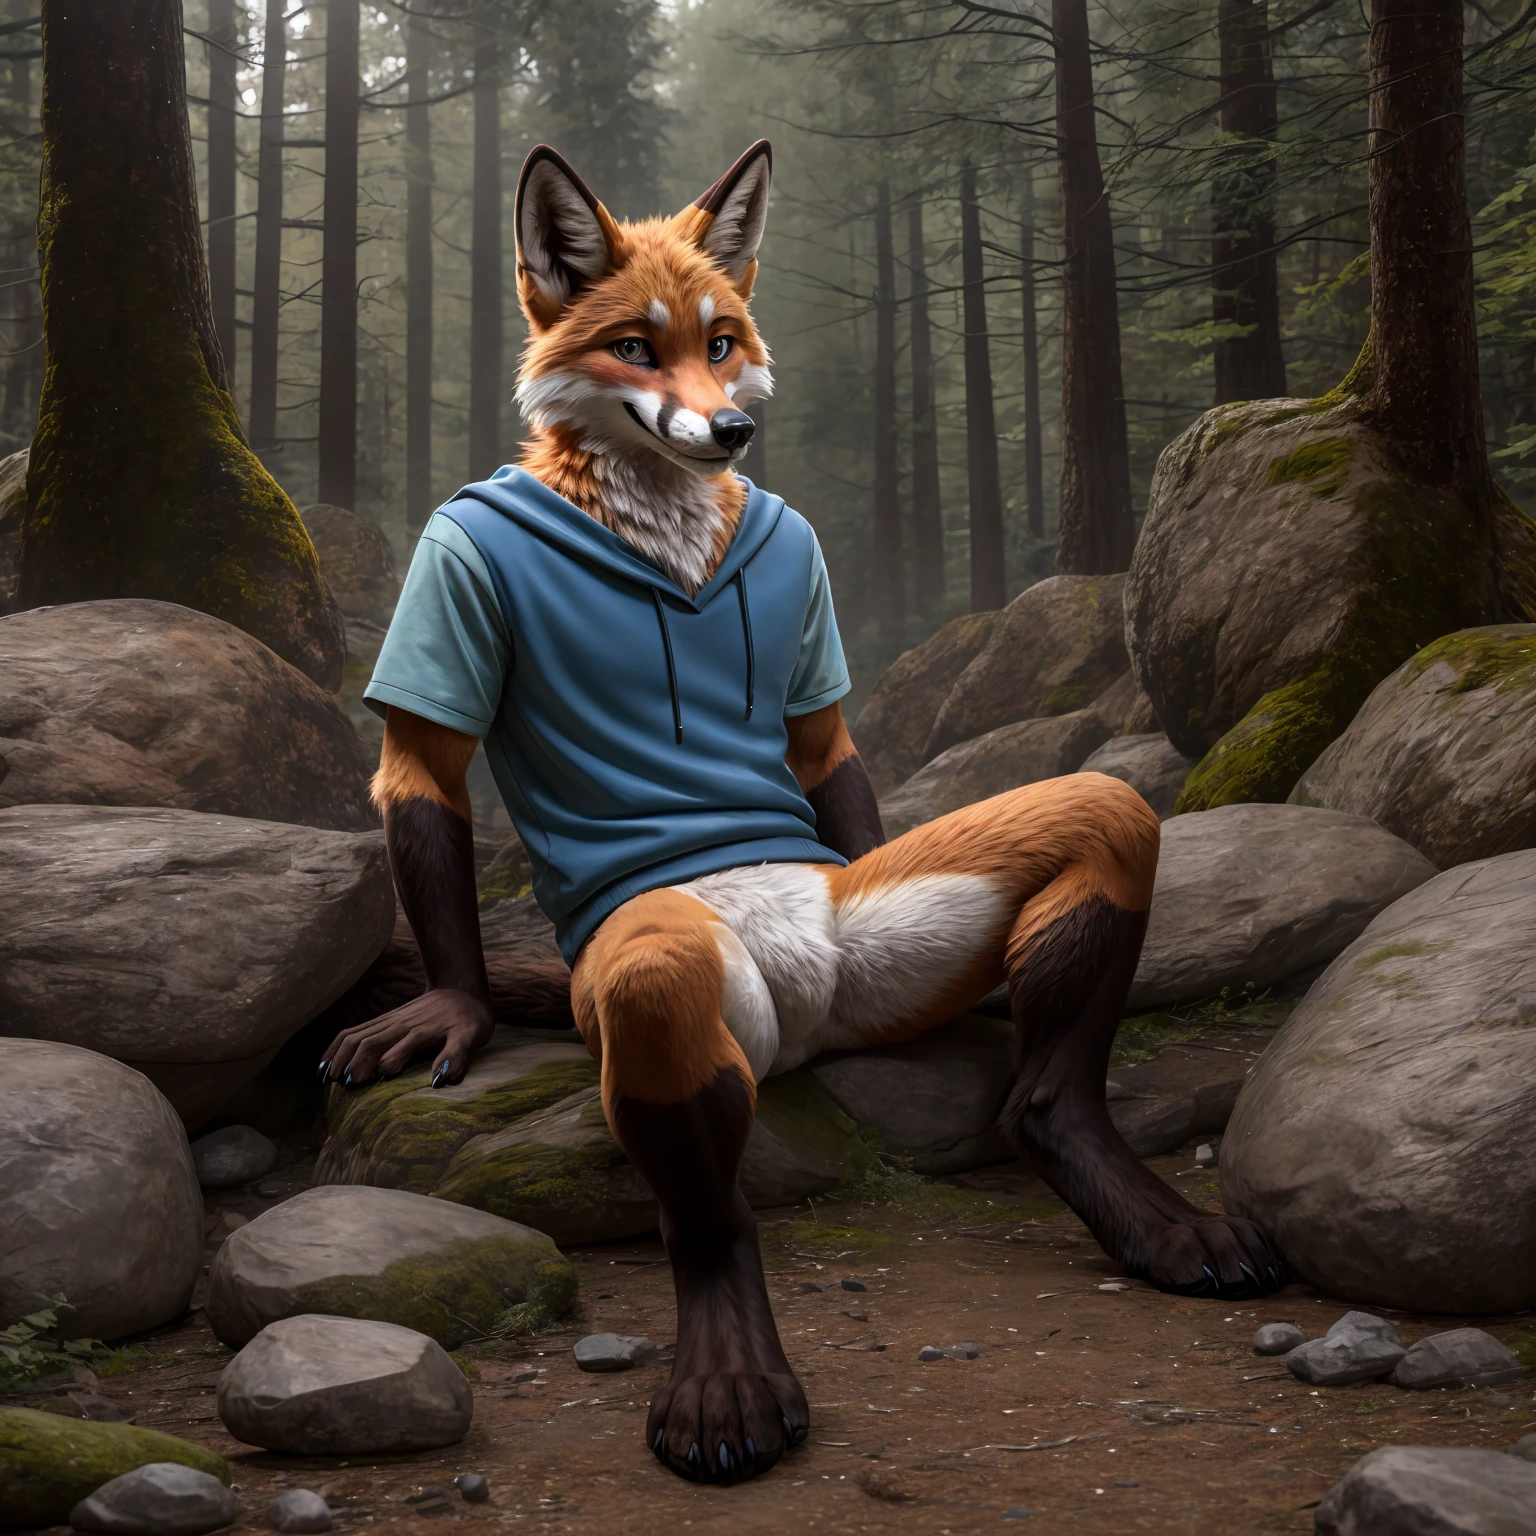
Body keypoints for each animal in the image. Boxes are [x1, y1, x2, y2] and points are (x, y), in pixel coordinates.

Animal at [322, 139, 1288, 1489]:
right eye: (637, 346)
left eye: (721, 341)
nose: (733, 428)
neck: (669, 541)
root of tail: (818, 1018)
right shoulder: (445, 593)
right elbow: (428, 768)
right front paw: (450, 1010)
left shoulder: (817, 683)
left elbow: (824, 744)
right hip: (685, 984)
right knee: (707, 1188)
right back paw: (727, 1388)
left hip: (903, 932)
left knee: (1068, 981)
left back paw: (1147, 1212)